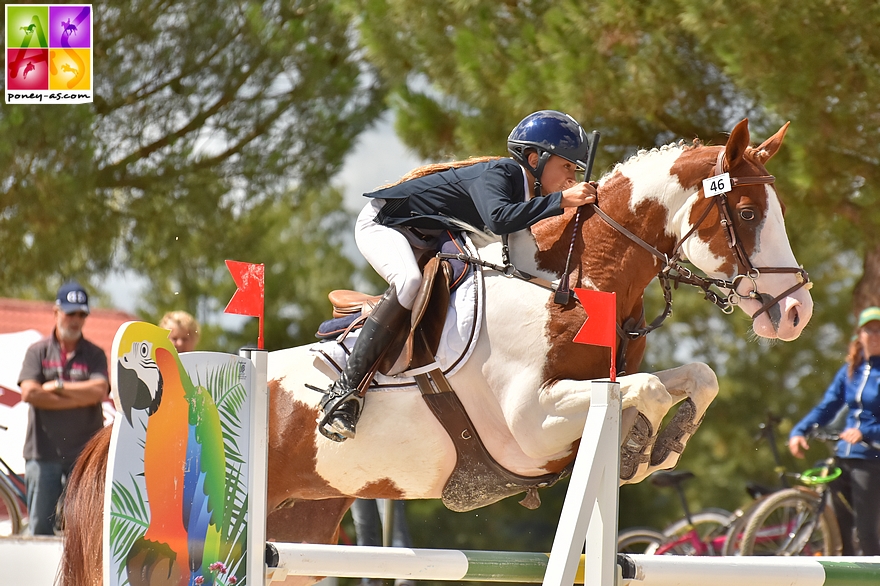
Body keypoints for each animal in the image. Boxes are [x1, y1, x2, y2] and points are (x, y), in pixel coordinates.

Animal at [56, 116, 812, 580]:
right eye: (747, 213)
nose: (797, 311)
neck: (569, 285)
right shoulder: (529, 427)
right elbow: (645, 388)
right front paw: (639, 446)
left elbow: (695, 376)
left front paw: (662, 443)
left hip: (300, 528)